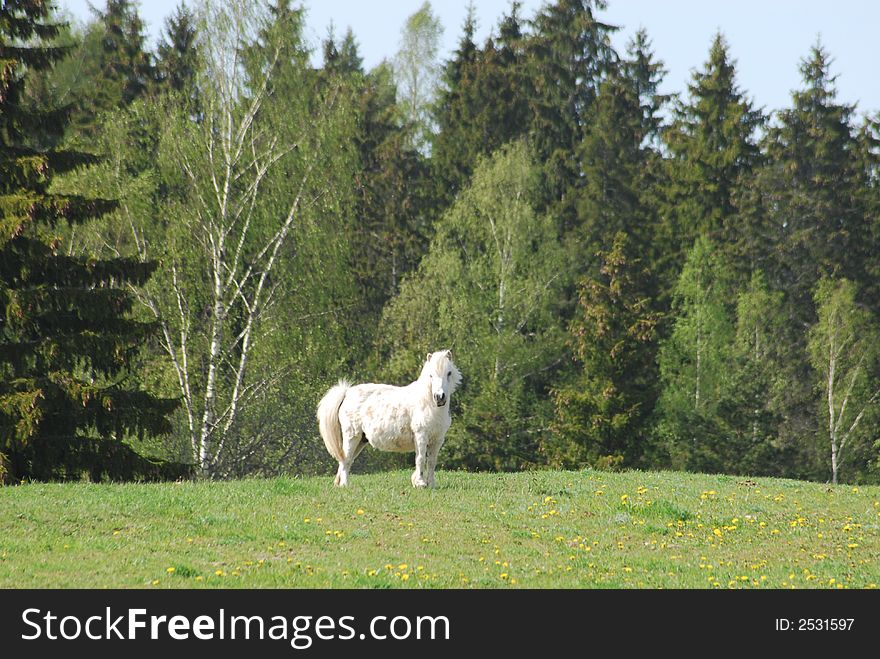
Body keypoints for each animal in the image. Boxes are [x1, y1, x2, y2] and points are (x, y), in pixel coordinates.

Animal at [320, 354, 464, 488]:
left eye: (449, 373)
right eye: (431, 375)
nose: (439, 397)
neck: (427, 403)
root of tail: (347, 393)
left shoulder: (437, 439)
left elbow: (432, 462)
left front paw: (431, 484)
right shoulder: (421, 436)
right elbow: (420, 459)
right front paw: (420, 483)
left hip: (361, 440)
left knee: (345, 460)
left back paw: (338, 484)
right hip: (352, 436)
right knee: (346, 459)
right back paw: (345, 484)